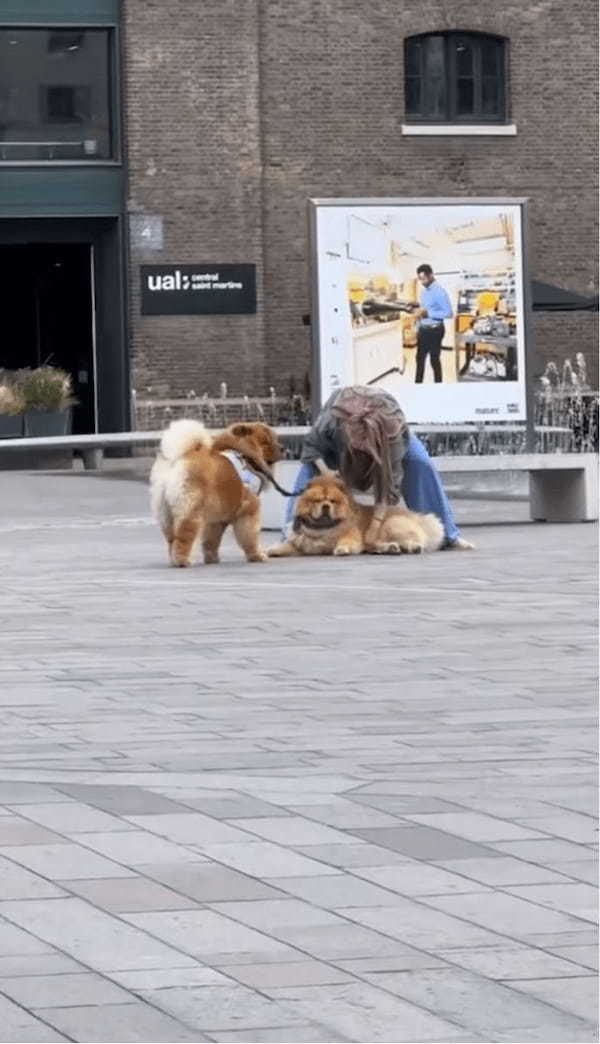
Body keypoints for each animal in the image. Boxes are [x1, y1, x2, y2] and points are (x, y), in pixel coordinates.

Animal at [150, 415, 281, 567]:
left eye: (274, 439)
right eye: (266, 442)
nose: (283, 449)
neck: (245, 455)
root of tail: (177, 460)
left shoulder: (216, 520)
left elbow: (211, 541)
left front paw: (212, 559)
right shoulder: (249, 511)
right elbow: (250, 537)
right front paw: (257, 555)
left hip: (166, 513)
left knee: (171, 540)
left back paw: (173, 560)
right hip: (190, 511)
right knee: (183, 538)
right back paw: (183, 561)